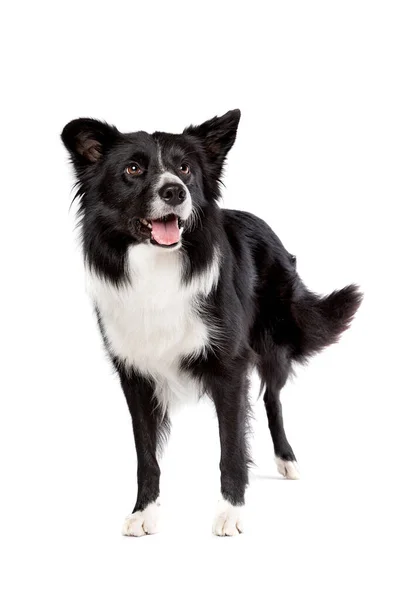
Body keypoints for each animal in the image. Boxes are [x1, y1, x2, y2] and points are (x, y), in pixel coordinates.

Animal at [60, 110, 362, 536]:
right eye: (133, 169)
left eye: (185, 168)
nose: (174, 192)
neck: (159, 269)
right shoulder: (134, 374)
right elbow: (146, 454)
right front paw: (144, 511)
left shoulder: (230, 366)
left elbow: (232, 446)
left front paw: (231, 511)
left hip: (273, 341)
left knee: (272, 398)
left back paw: (287, 459)